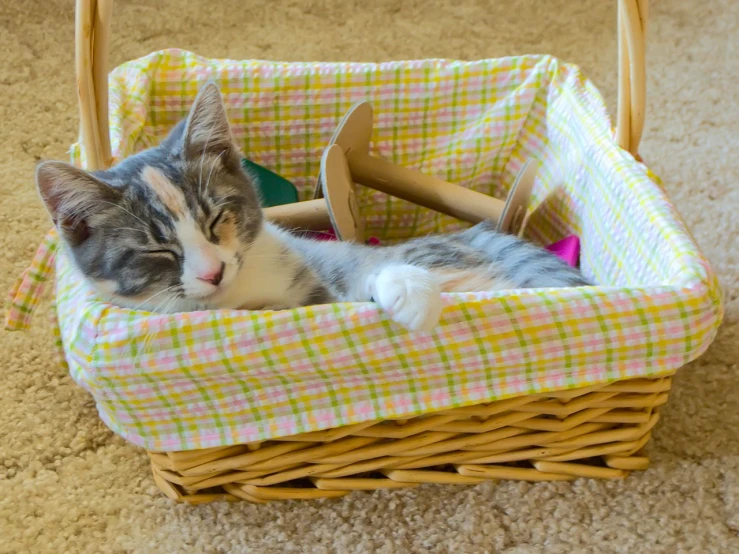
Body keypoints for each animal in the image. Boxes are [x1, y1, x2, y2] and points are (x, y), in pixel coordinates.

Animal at [34, 82, 592, 330]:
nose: (213, 272)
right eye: (157, 250)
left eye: (216, 218)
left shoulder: (318, 283)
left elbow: (363, 274)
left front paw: (407, 290)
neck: (239, 298)